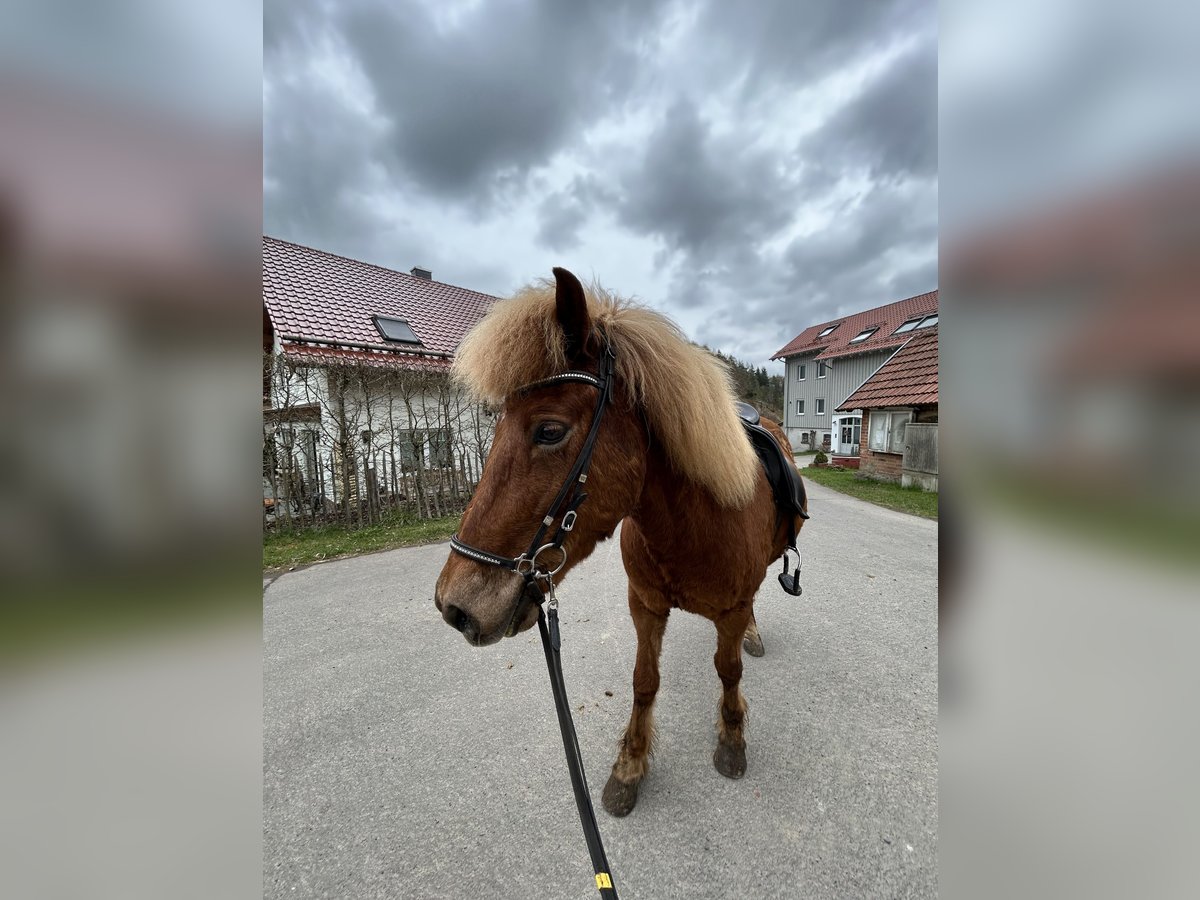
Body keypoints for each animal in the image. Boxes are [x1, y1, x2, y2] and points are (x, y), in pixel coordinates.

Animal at [433, 267, 807, 817]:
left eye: (549, 430)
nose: (454, 605)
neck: (691, 528)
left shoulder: (732, 607)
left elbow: (729, 669)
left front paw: (732, 738)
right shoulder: (645, 607)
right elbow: (644, 682)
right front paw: (630, 767)